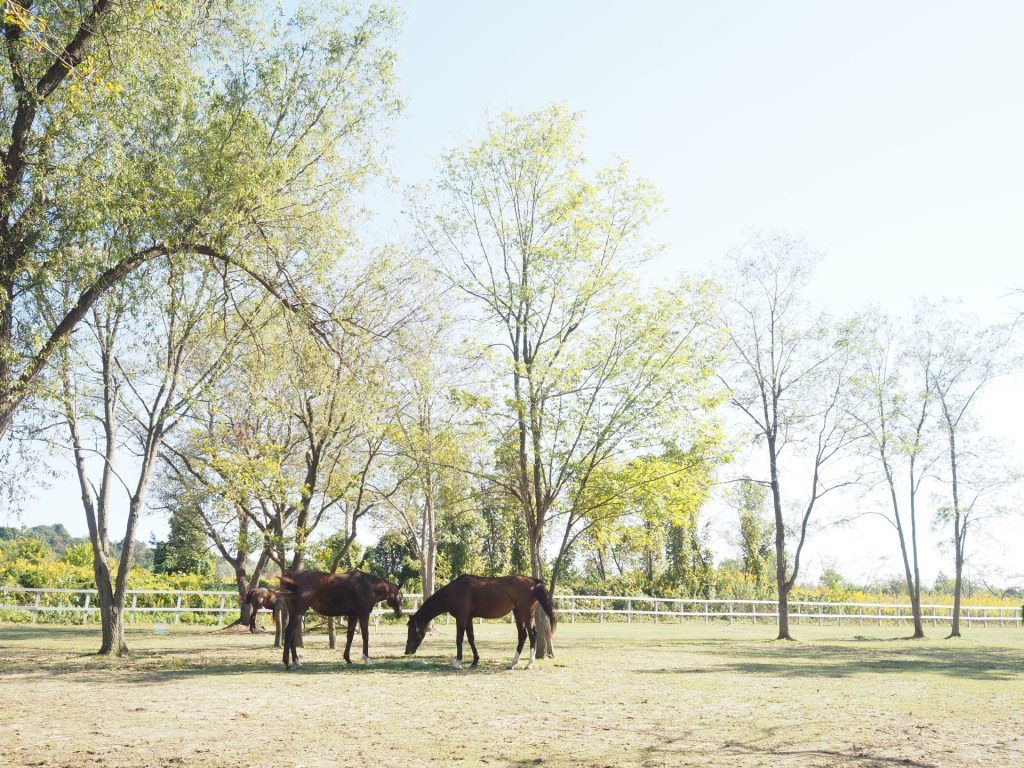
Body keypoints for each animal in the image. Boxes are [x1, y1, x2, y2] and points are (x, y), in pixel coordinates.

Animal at [404, 574, 557, 670]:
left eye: (412, 630)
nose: (407, 651)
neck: (454, 591)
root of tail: (534, 582)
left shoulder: (461, 617)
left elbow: (459, 639)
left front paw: (457, 662)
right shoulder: (469, 618)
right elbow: (471, 638)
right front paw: (475, 661)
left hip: (526, 614)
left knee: (532, 635)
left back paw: (529, 664)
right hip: (518, 614)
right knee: (522, 636)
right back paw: (512, 663)